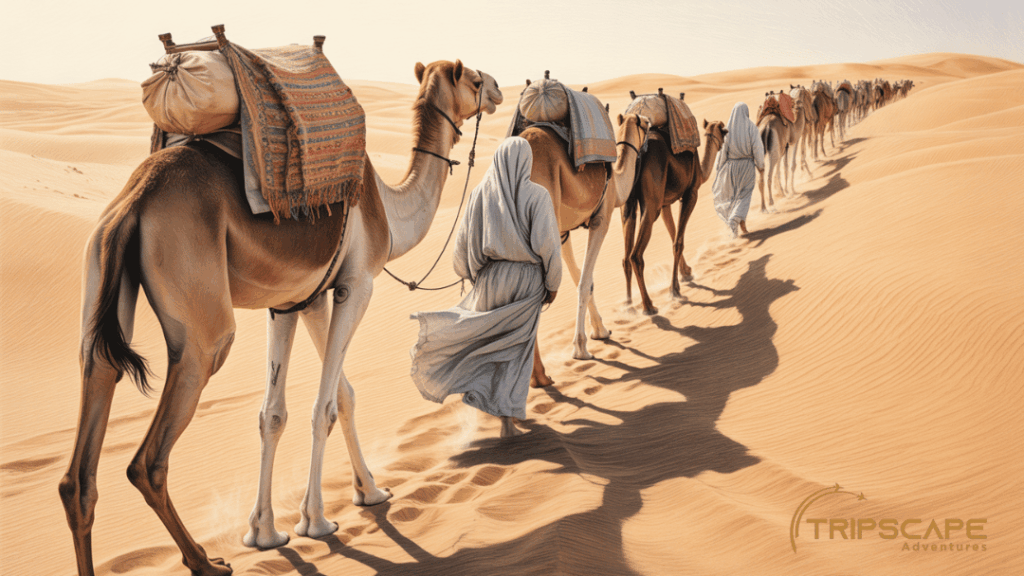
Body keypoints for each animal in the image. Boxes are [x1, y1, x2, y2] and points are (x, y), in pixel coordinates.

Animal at [59, 59, 503, 576]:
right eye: (473, 79)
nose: (497, 88)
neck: (389, 212)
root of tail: (135, 200)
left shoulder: (298, 301)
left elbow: (295, 408)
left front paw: (293, 521)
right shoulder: (356, 285)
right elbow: (324, 405)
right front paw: (316, 521)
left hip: (101, 274)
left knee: (86, 432)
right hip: (202, 330)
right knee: (148, 459)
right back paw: (207, 562)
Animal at [521, 111, 649, 386]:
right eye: (644, 124)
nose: (650, 121)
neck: (617, 185)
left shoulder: (562, 232)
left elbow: (578, 278)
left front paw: (601, 330)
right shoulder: (601, 217)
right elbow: (584, 280)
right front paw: (581, 348)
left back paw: (536, 378)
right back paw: (539, 377)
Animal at [622, 118, 726, 315]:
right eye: (725, 131)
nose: (724, 143)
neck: (701, 171)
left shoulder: (665, 203)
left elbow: (673, 234)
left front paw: (686, 272)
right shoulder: (691, 193)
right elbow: (678, 241)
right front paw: (675, 289)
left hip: (628, 202)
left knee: (625, 256)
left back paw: (629, 307)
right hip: (651, 203)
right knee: (635, 255)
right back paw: (648, 307)